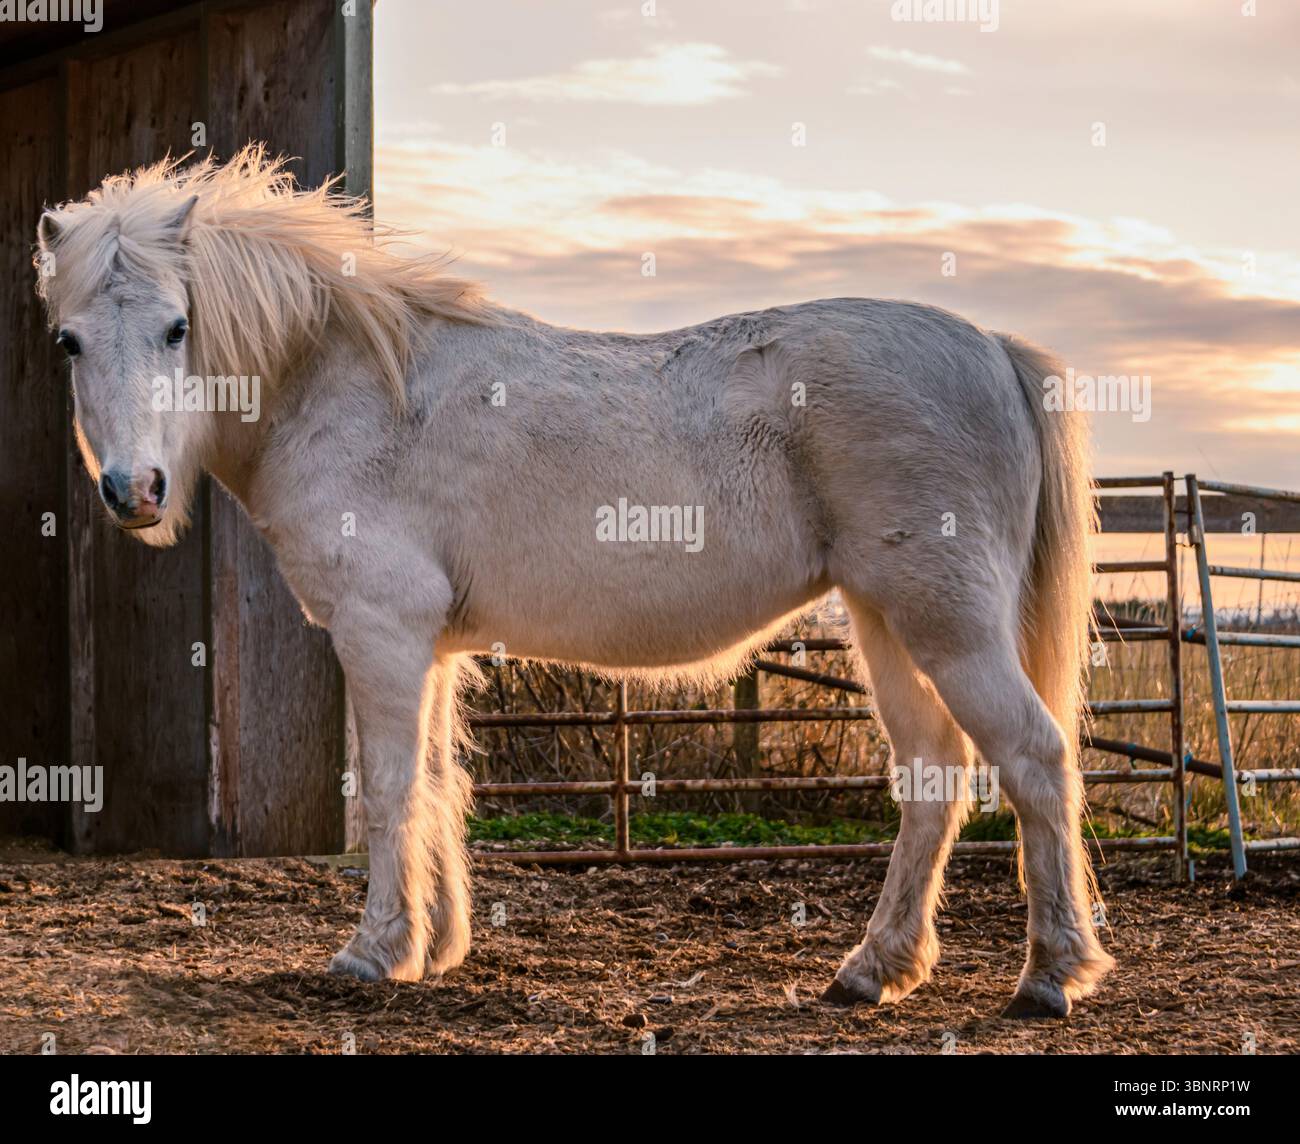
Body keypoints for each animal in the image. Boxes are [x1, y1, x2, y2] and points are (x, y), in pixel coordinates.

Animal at [35, 146, 1112, 1019]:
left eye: (178, 329)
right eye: (69, 341)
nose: (134, 490)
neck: (351, 385)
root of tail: (994, 352)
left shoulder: (380, 634)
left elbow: (388, 790)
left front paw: (375, 953)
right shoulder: (427, 647)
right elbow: (439, 784)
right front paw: (438, 946)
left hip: (947, 622)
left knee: (1034, 758)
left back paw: (1050, 975)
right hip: (888, 620)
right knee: (933, 775)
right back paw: (873, 969)